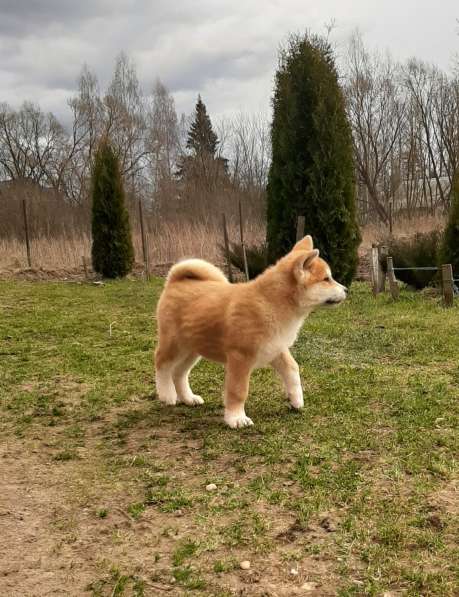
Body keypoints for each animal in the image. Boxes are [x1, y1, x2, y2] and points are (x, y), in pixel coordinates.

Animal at [155, 235, 348, 426]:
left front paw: (296, 400)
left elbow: (293, 370)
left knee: (179, 373)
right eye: (326, 279)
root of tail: (175, 280)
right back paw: (167, 394)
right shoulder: (240, 358)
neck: (271, 303)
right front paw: (236, 418)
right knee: (161, 364)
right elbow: (238, 391)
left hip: (193, 349)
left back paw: (188, 398)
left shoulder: (277, 349)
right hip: (174, 344)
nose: (346, 289)